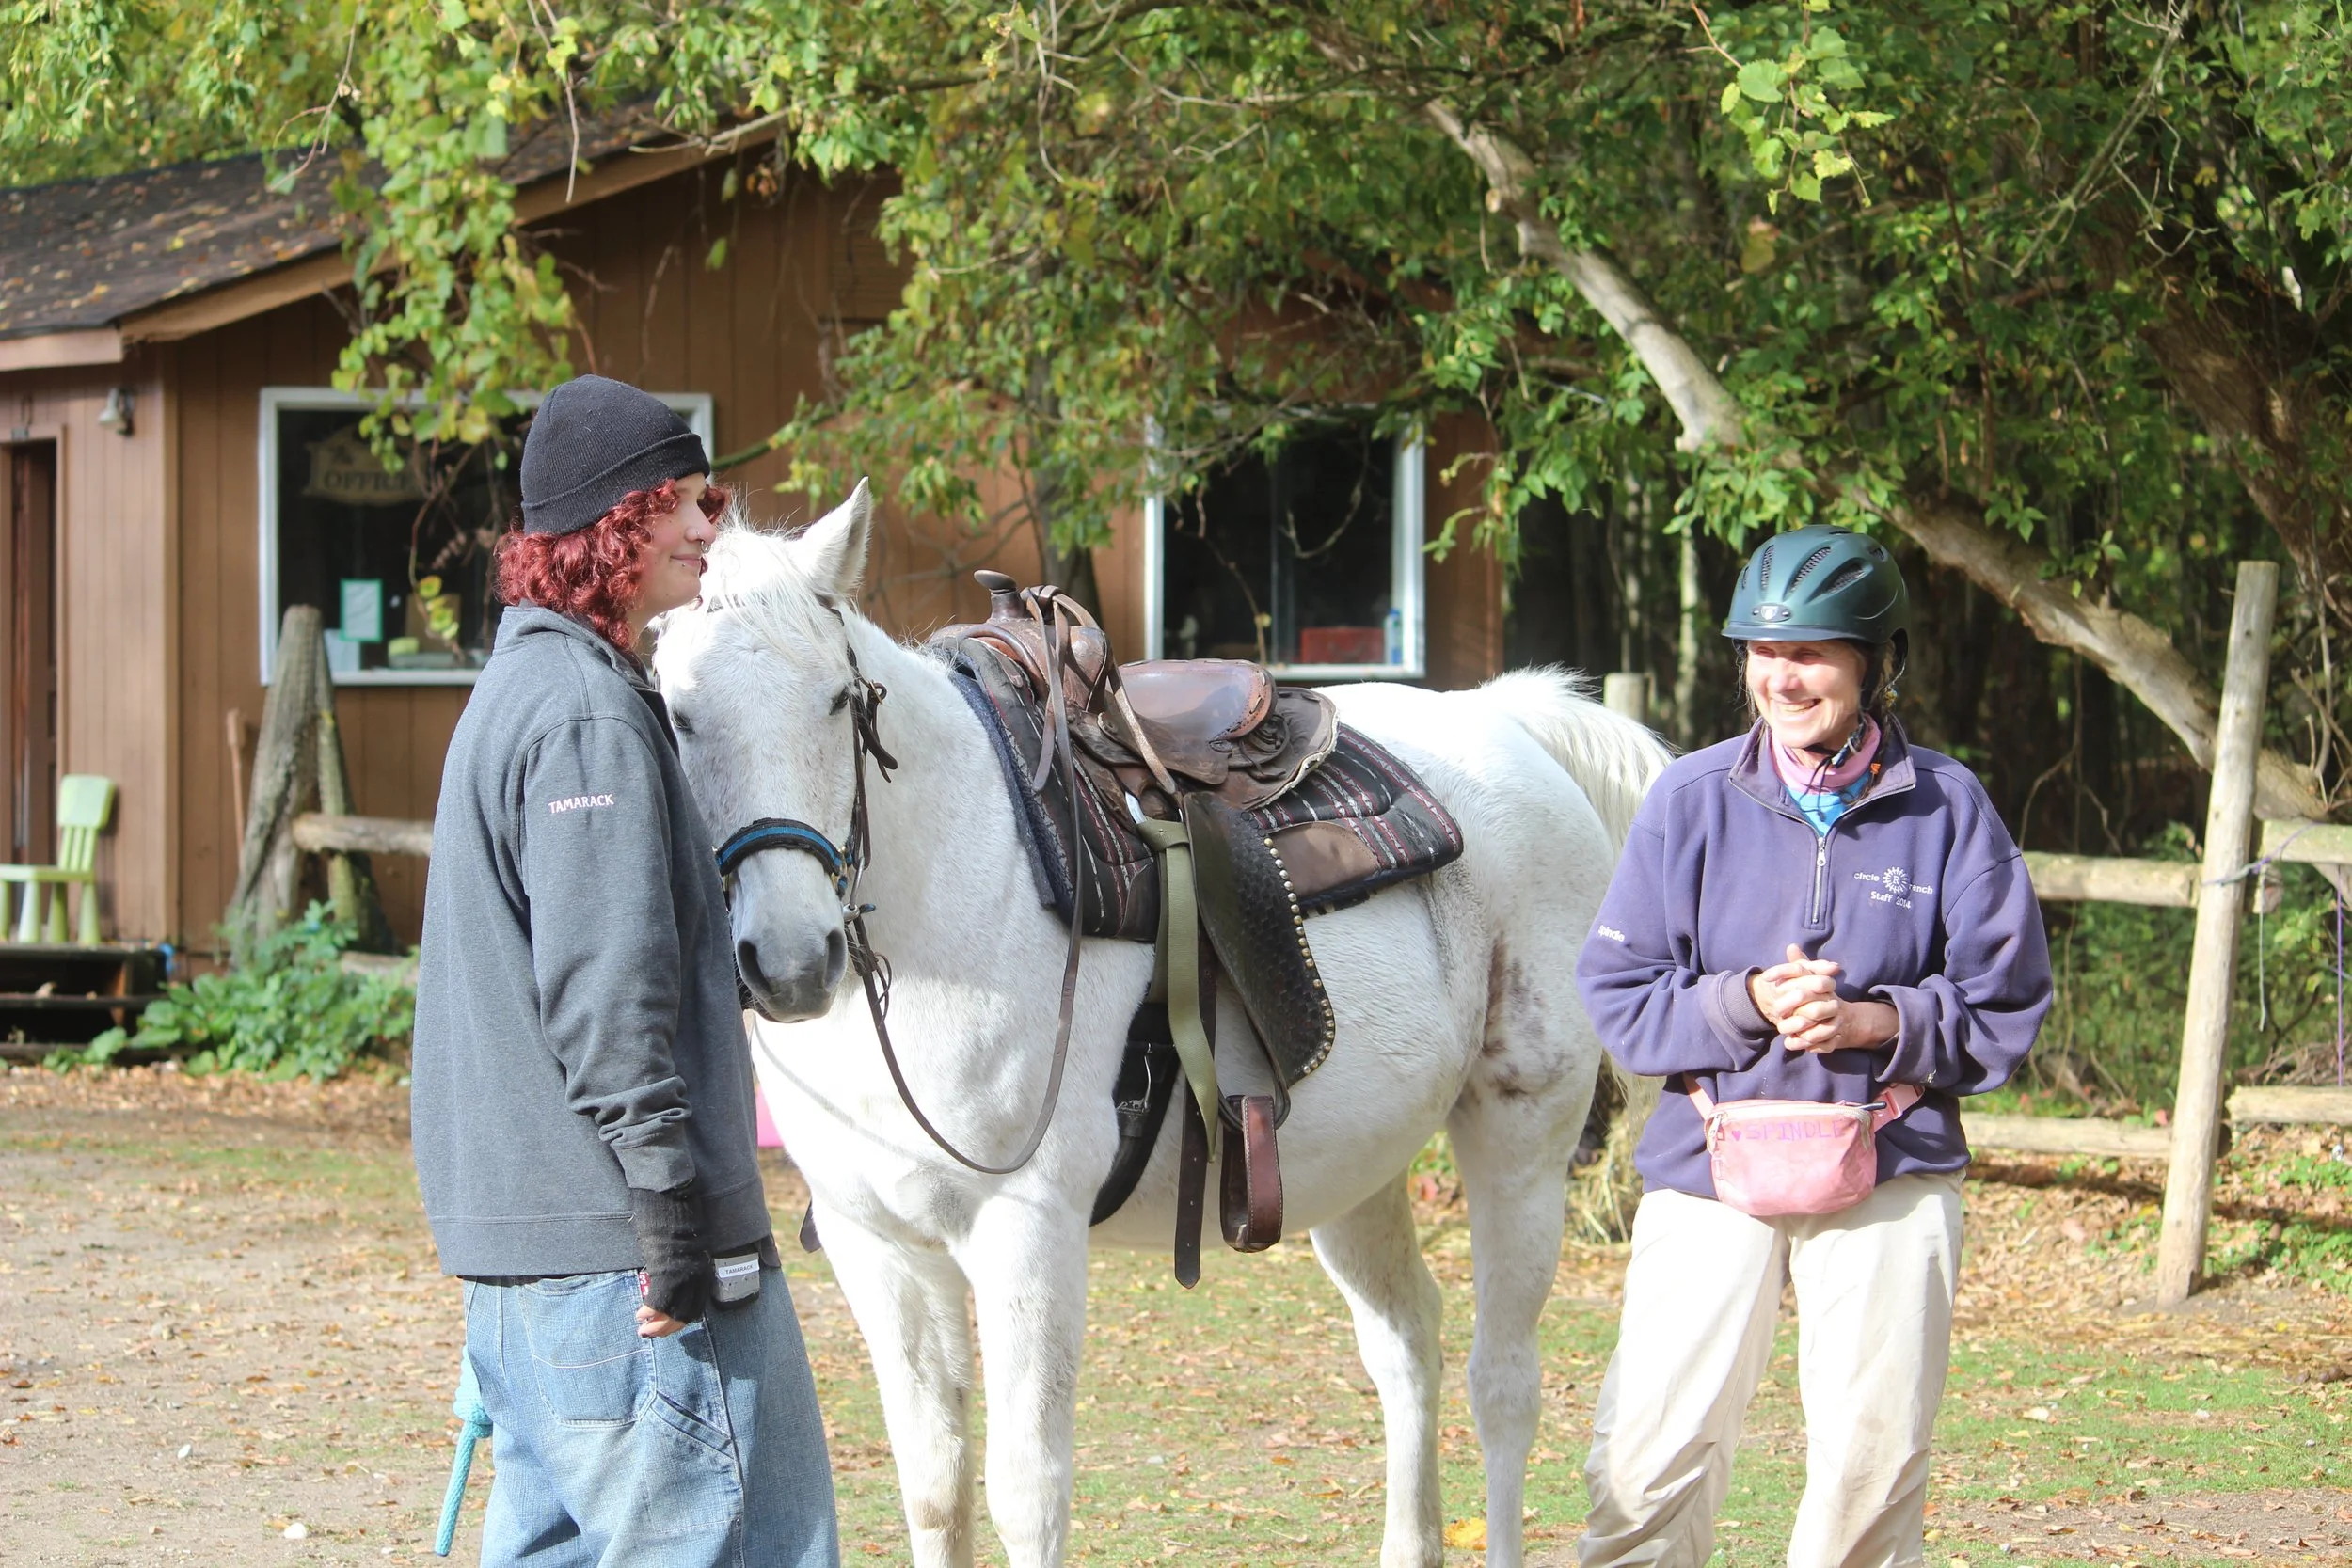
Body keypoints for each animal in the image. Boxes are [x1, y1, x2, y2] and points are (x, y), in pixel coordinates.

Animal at [652, 483, 1670, 1568]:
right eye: (676, 711)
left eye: (838, 701)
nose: (791, 960)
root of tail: (1508, 716)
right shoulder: (876, 1244)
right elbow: (933, 1484)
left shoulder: (1028, 1231)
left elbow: (1027, 1493)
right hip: (1355, 1171)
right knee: (1407, 1345)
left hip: (1520, 1139)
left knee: (1503, 1384)